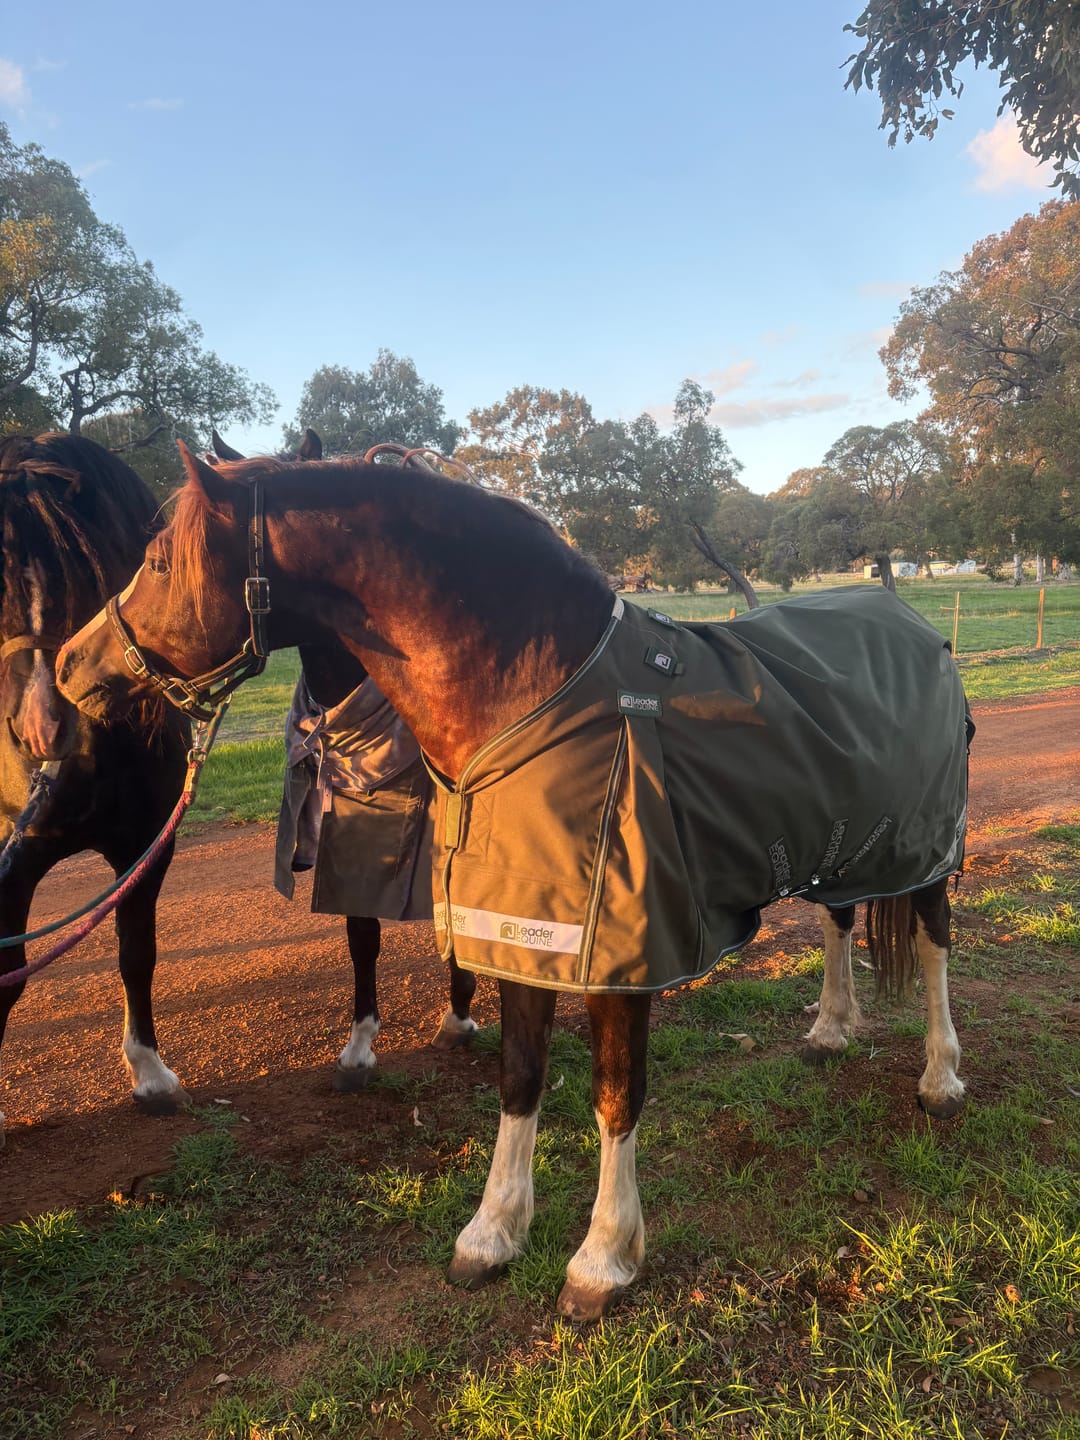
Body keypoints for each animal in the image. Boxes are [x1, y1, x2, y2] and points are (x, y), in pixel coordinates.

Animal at [0, 433, 191, 1147]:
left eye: (78, 569)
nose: (42, 729)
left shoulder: (145, 847)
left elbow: (137, 952)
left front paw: (150, 1073)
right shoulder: (17, 856)